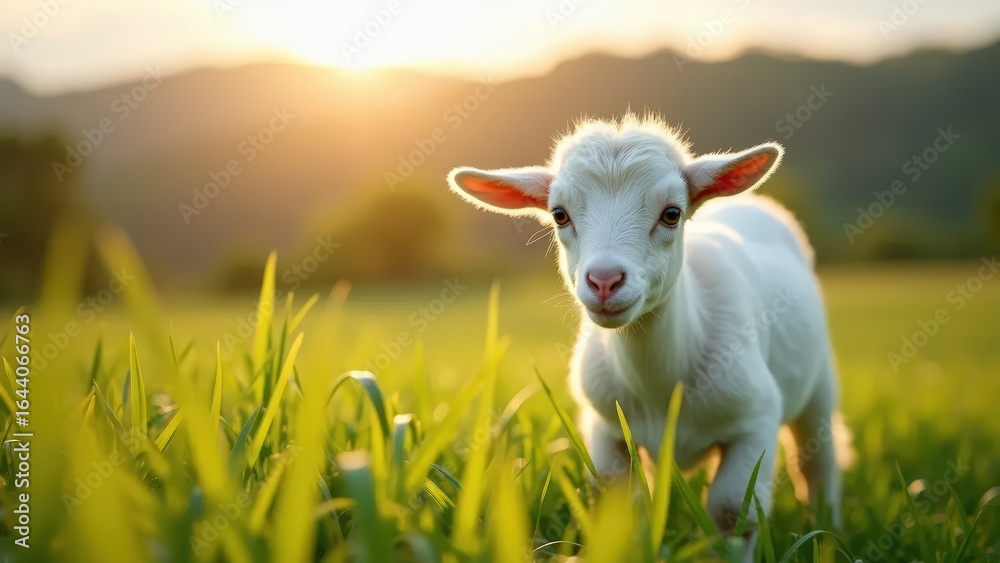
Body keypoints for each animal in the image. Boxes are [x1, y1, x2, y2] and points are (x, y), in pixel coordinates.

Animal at [446, 114, 841, 556]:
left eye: (671, 213)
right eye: (559, 215)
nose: (604, 281)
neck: (659, 383)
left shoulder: (755, 418)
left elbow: (732, 511)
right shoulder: (606, 427)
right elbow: (619, 506)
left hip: (820, 383)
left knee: (818, 459)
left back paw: (829, 530)